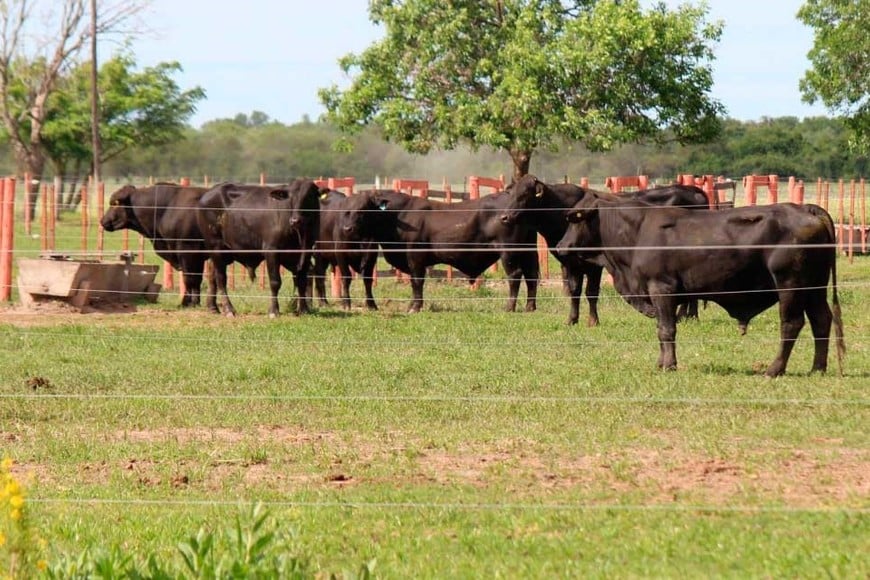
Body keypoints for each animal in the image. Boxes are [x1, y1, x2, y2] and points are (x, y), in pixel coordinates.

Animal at [196, 180, 322, 318]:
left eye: (309, 196)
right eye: (290, 197)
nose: (295, 220)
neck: (299, 235)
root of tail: (208, 194)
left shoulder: (306, 254)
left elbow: (301, 281)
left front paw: (304, 309)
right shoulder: (272, 251)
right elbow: (275, 282)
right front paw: (273, 310)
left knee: (212, 276)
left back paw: (213, 307)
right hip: (216, 247)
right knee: (221, 278)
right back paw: (229, 309)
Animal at [364, 190, 540, 312]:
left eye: (365, 207)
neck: (401, 214)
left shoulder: (415, 257)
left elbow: (417, 281)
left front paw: (415, 307)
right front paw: (411, 306)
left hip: (508, 252)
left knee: (515, 275)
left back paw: (509, 307)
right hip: (528, 250)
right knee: (531, 275)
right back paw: (530, 307)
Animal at [500, 174, 712, 326]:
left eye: (524, 195)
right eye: (510, 194)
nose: (504, 217)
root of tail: (693, 190)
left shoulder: (594, 265)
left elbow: (591, 292)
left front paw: (593, 321)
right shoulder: (570, 264)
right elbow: (574, 291)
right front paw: (572, 319)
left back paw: (689, 316)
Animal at [560, 191, 844, 376]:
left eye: (576, 219)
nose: (561, 247)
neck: (638, 232)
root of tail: (806, 208)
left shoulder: (661, 289)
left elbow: (667, 330)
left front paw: (669, 365)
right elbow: (662, 330)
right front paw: (661, 362)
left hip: (791, 286)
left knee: (791, 324)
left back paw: (775, 369)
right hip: (814, 288)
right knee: (821, 320)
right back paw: (818, 368)